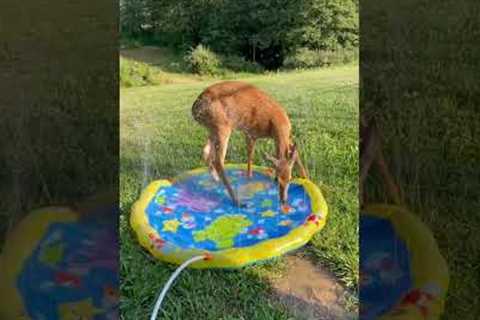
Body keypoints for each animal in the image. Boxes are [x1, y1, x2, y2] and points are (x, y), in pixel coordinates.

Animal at [191, 80, 308, 208]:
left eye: (290, 178)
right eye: (278, 180)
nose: (283, 201)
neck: (273, 123)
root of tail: (195, 108)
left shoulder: (284, 138)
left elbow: (296, 153)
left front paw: (306, 179)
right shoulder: (250, 133)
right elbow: (250, 158)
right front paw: (249, 180)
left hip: (211, 129)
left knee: (206, 151)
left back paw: (215, 179)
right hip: (222, 127)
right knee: (218, 161)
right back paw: (237, 201)